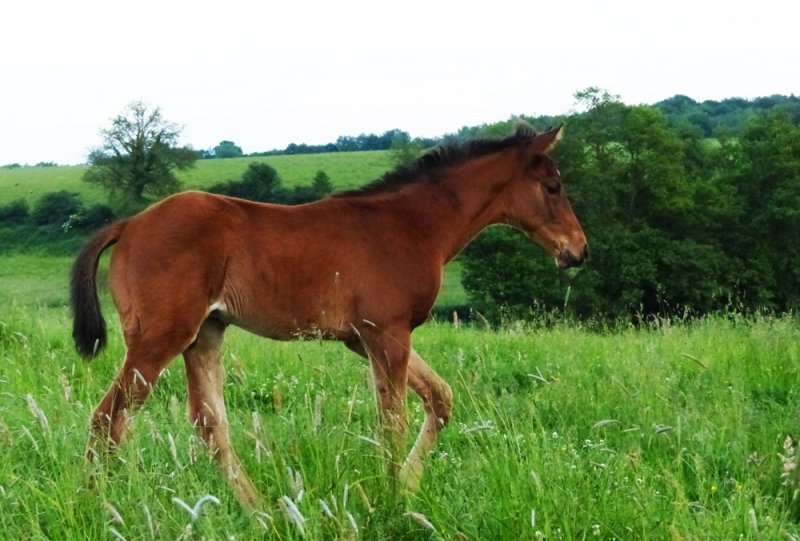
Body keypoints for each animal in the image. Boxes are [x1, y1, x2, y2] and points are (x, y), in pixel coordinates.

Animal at [70, 123, 588, 509]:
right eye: (554, 186)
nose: (578, 251)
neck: (413, 225)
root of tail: (129, 224)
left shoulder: (364, 337)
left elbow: (439, 400)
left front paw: (407, 489)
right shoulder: (387, 333)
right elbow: (392, 422)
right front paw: (392, 501)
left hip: (206, 333)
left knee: (208, 425)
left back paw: (259, 511)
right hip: (161, 337)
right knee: (108, 418)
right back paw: (100, 506)